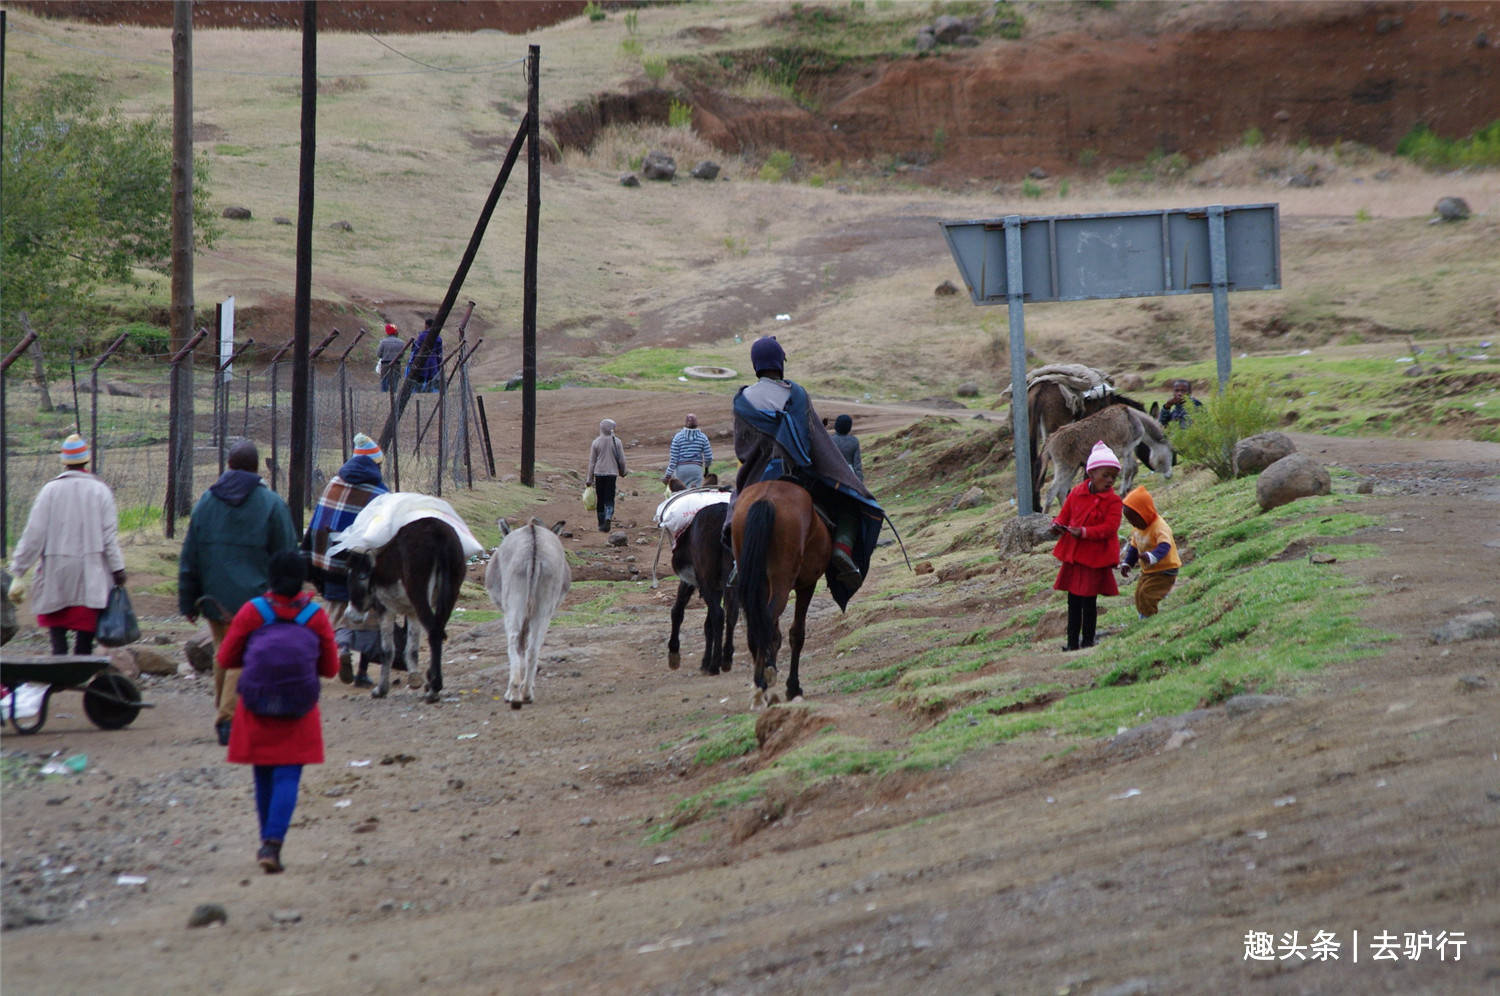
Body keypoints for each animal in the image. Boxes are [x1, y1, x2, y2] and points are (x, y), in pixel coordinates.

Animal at [669, 507, 738, 678]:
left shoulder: (690, 580)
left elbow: (677, 611)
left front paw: (674, 654)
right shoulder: (718, 586)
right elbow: (708, 625)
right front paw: (705, 661)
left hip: (706, 580)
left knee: (719, 615)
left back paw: (715, 665)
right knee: (731, 613)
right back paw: (726, 660)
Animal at [729, 480, 834, 708]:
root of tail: (766, 498)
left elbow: (776, 634)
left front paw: (772, 670)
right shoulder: (807, 584)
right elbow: (797, 634)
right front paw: (793, 686)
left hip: (753, 576)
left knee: (758, 623)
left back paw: (760, 683)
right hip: (782, 580)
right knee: (767, 620)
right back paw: (760, 686)